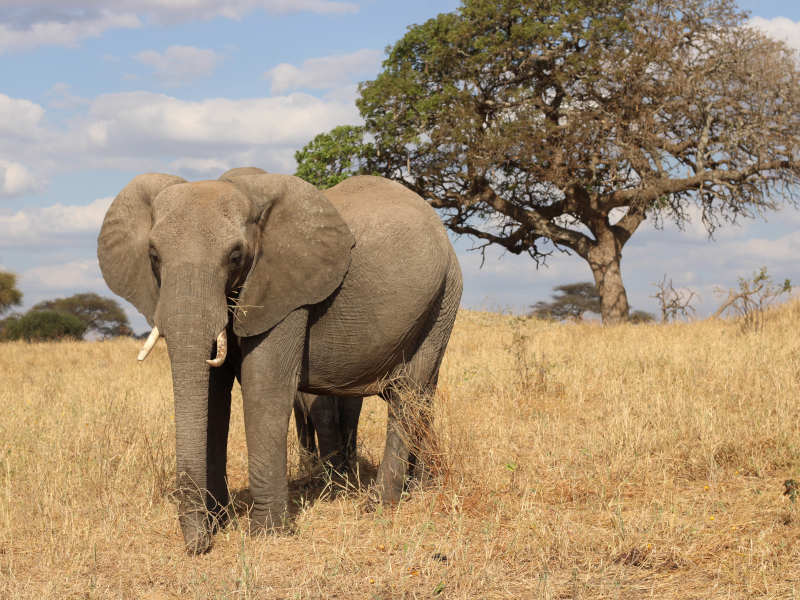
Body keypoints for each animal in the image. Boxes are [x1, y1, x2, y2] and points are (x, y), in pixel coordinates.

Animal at [98, 166, 462, 552]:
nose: (197, 546)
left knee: (408, 393)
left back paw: (378, 505)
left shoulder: (286, 292)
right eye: (153, 255)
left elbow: (265, 386)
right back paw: (419, 488)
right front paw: (220, 523)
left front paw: (267, 533)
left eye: (235, 256)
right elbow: (214, 395)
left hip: (445, 295)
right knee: (421, 394)